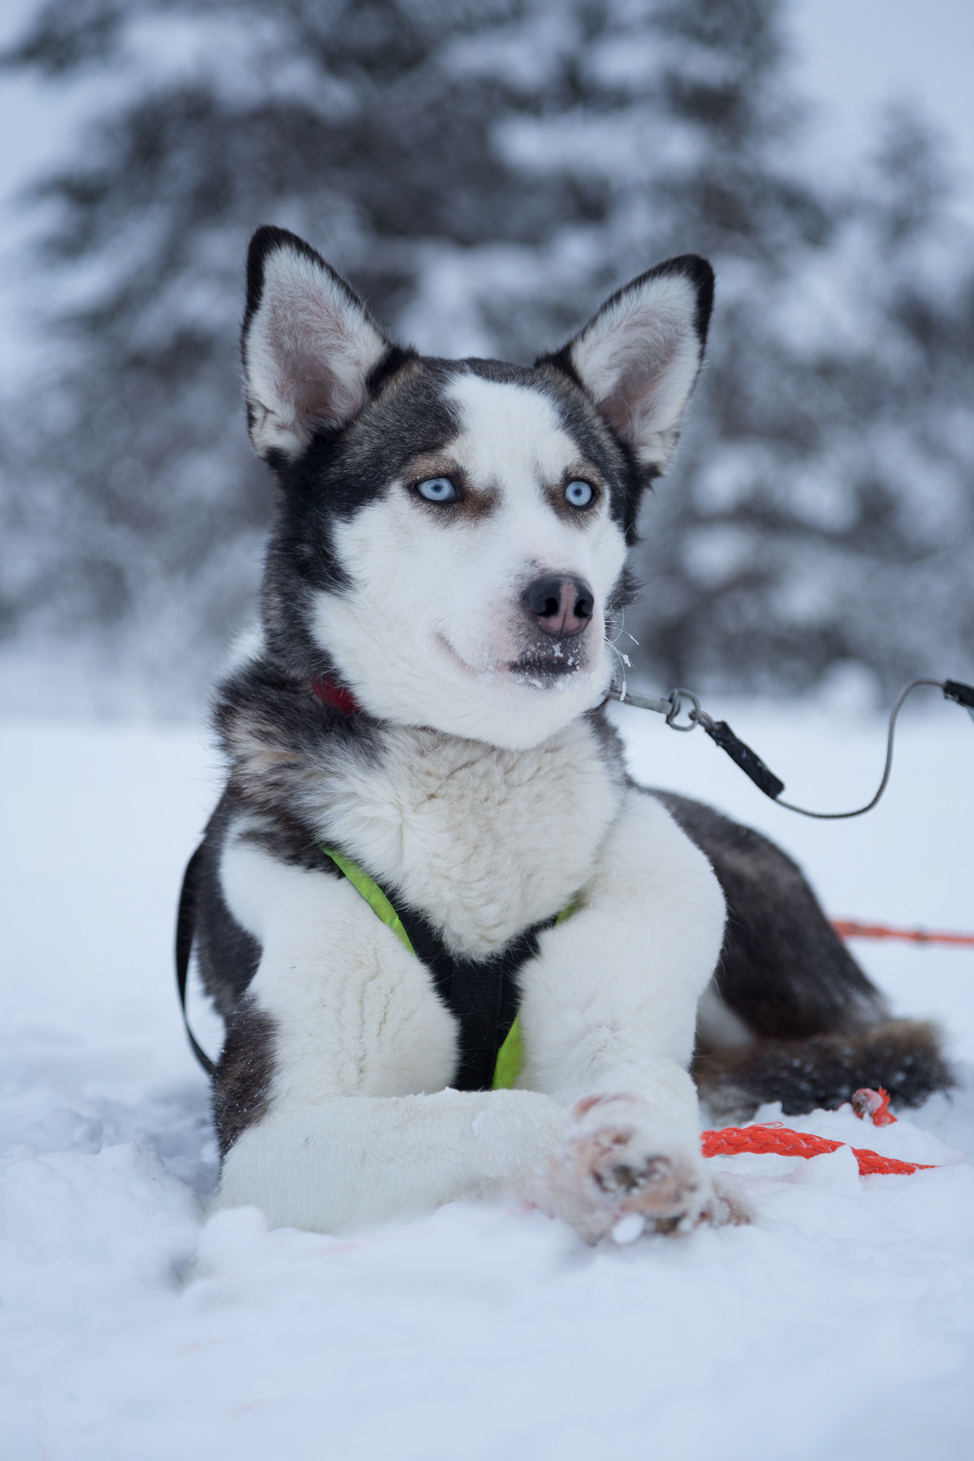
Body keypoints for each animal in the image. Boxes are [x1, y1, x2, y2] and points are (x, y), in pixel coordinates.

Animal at [186, 227, 946, 1244]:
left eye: (579, 491)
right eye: (438, 485)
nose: (564, 600)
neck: (474, 767)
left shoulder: (624, 1001)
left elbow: (647, 1084)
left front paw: (662, 1157)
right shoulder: (276, 1139)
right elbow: (509, 1108)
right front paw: (630, 1163)